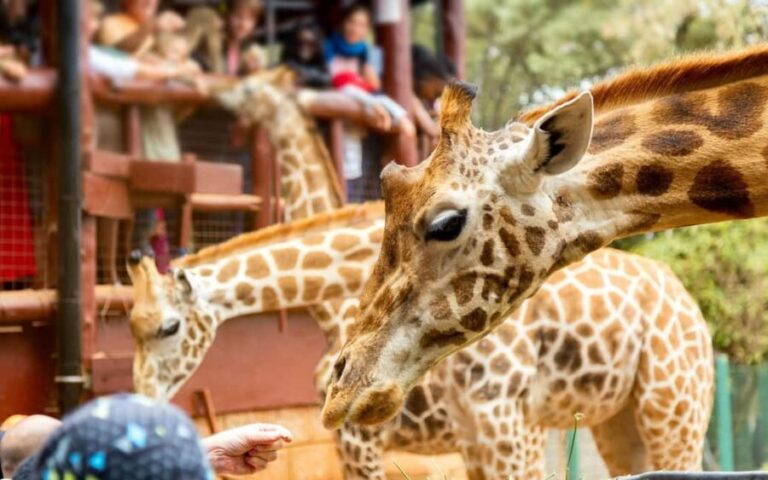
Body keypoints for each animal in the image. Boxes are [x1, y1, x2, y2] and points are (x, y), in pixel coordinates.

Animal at [128, 204, 712, 478]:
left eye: (168, 328)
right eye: (130, 326)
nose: (141, 399)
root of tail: (692, 308)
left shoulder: (505, 416)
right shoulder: (472, 426)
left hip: (672, 406)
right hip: (620, 420)